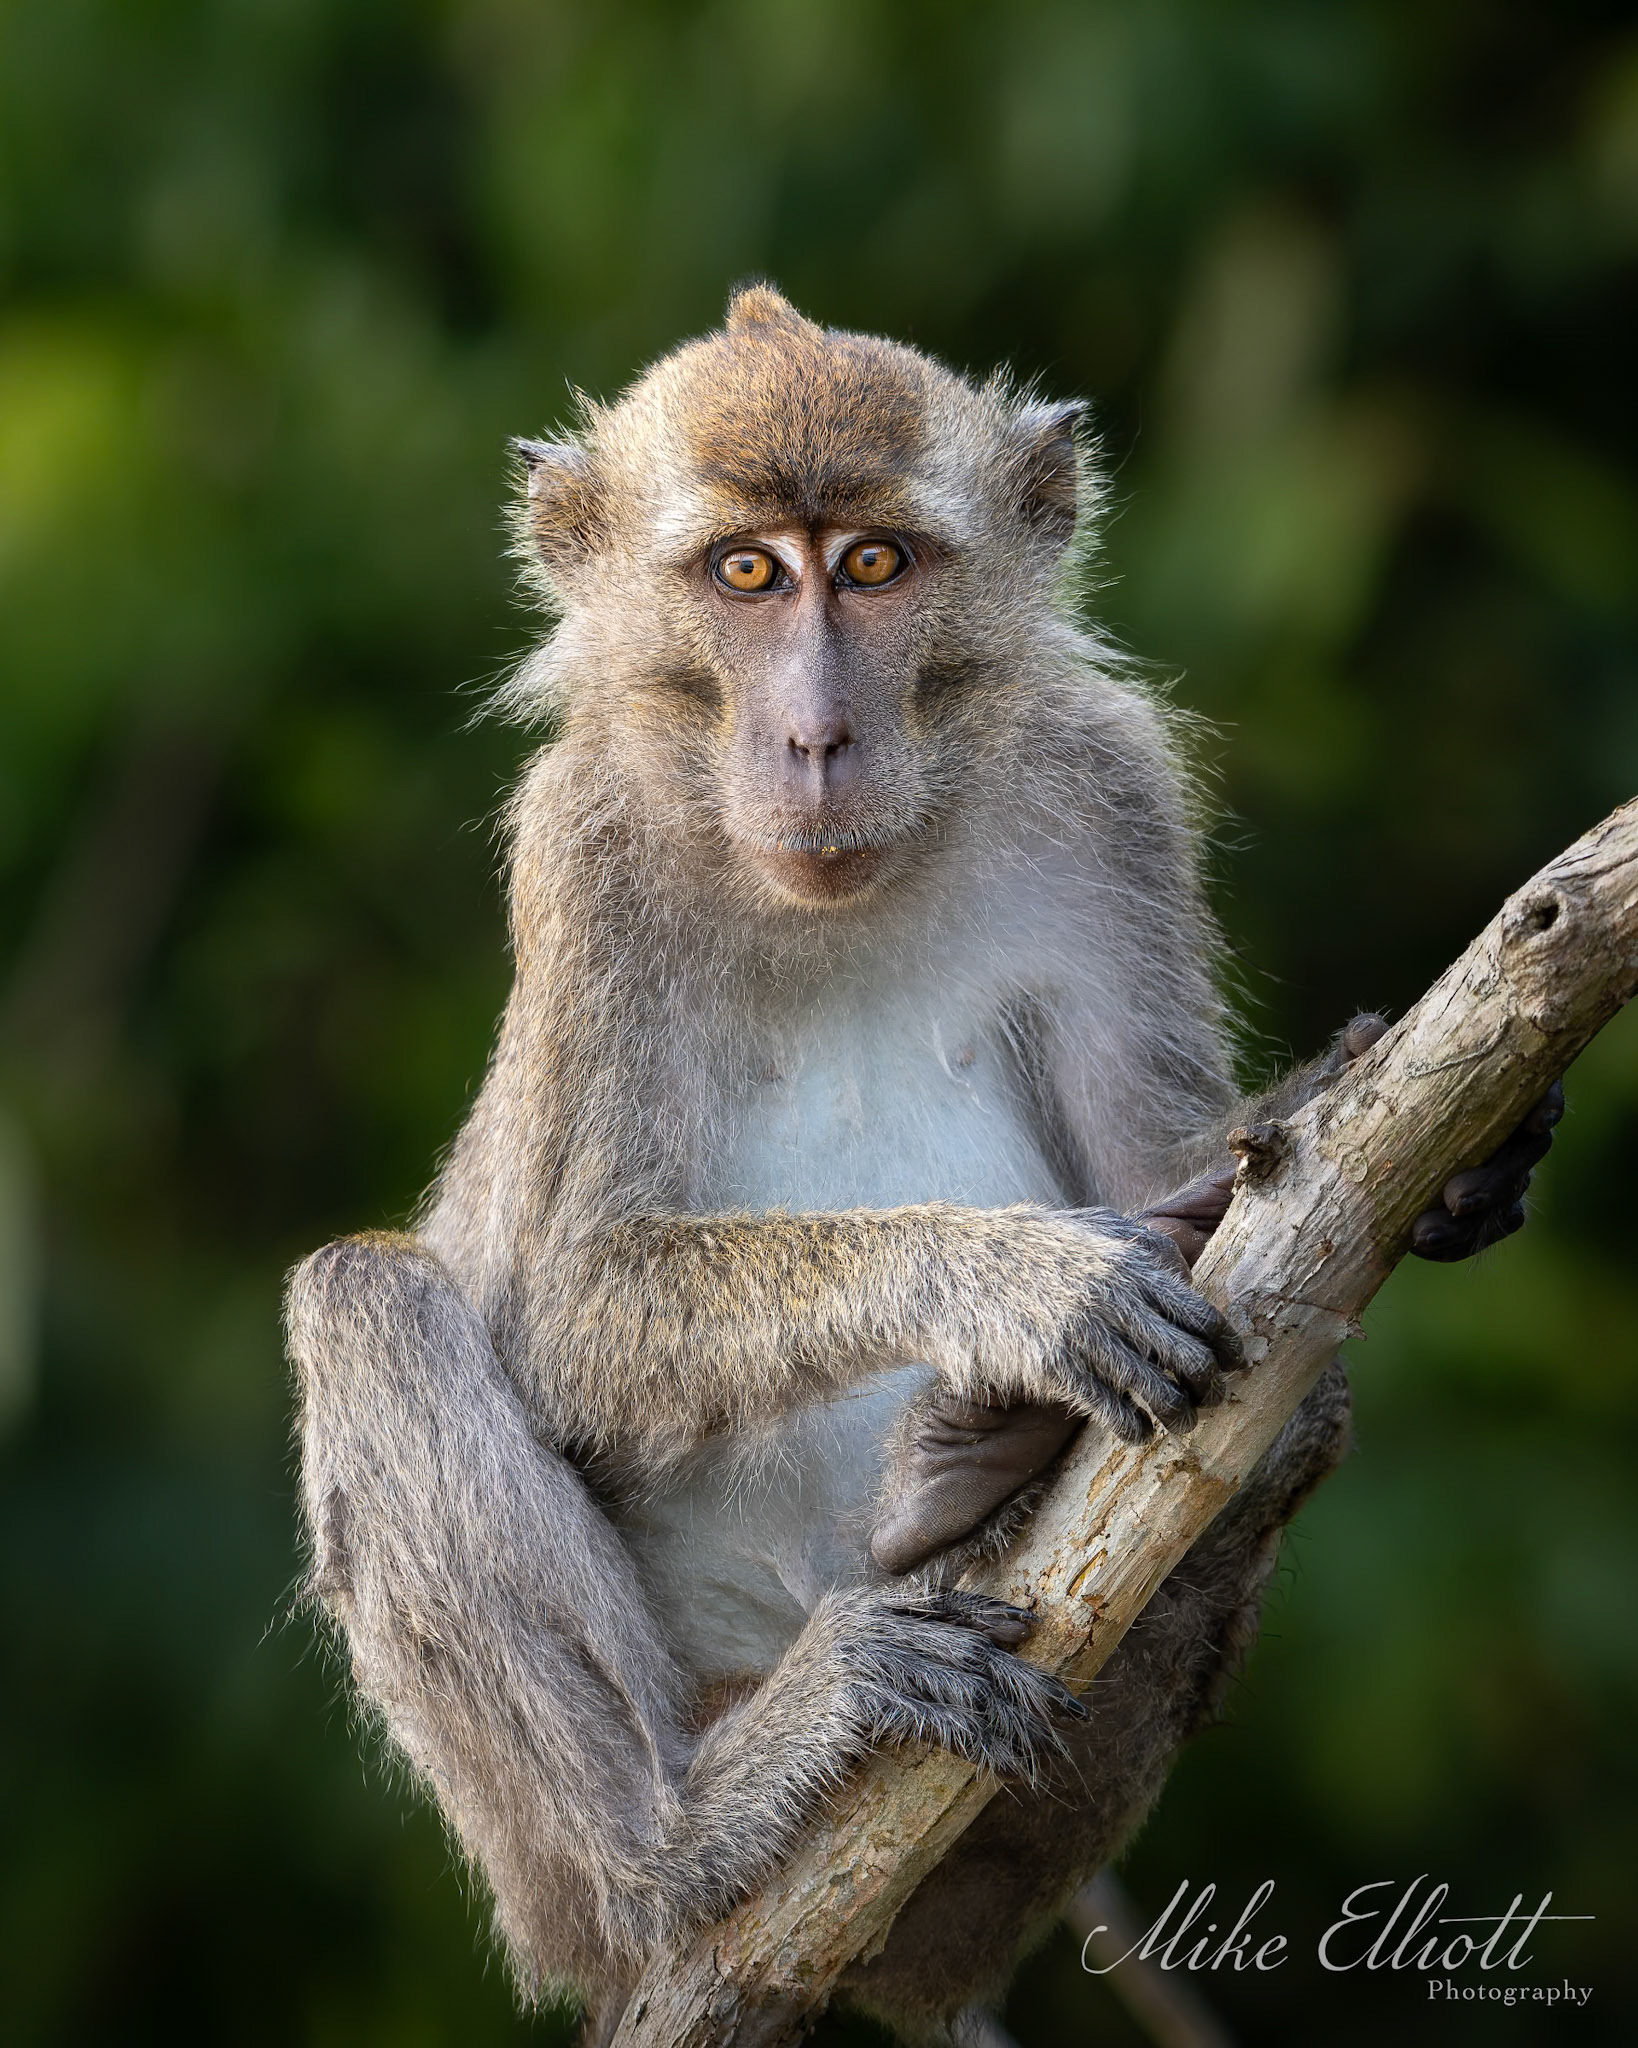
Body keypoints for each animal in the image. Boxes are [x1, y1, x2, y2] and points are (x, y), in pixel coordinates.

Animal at [286, 286, 1560, 2046]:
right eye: (747, 574)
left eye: (876, 565)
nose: (816, 736)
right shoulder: (583, 850)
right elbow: (566, 1310)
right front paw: (1019, 1287)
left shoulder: (1107, 787)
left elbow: (1203, 1174)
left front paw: (1434, 1162)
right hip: (559, 1874)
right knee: (368, 1301)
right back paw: (694, 1826)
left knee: (1293, 1406)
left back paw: (971, 1477)